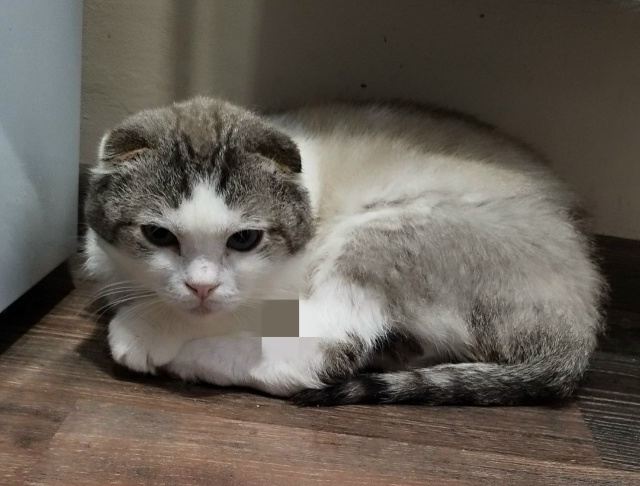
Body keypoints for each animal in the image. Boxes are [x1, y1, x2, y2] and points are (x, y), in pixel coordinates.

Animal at [83, 96, 605, 406]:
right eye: (158, 236)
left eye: (244, 239)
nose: (201, 286)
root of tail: (577, 326)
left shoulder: (277, 285)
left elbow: (231, 310)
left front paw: (147, 329)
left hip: (387, 232)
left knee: (329, 347)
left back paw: (194, 360)